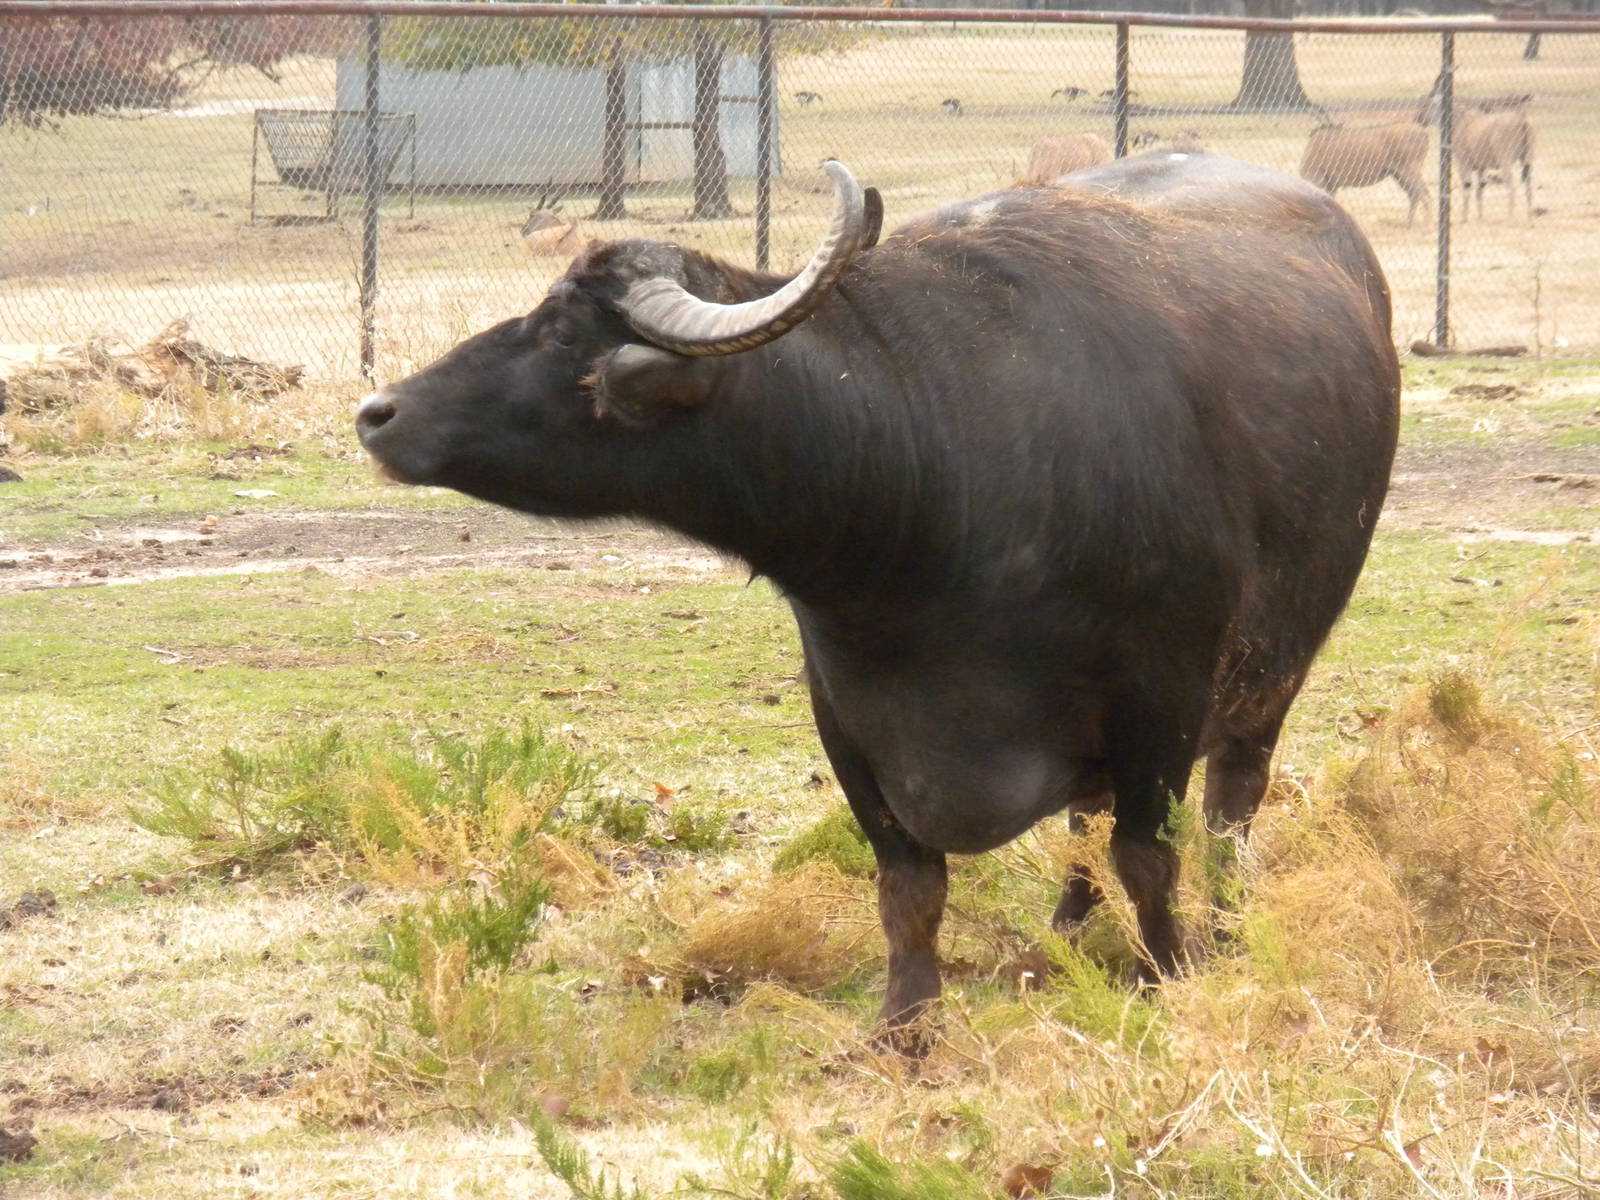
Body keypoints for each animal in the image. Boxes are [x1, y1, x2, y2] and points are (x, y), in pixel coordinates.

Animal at [357, 154, 1400, 1051]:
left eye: (565, 334)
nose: (379, 413)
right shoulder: (849, 719)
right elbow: (910, 885)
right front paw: (906, 1024)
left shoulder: (1163, 698)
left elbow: (1150, 856)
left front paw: (1165, 976)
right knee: (1081, 829)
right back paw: (1060, 938)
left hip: (1269, 678)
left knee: (1229, 809)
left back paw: (1222, 924)